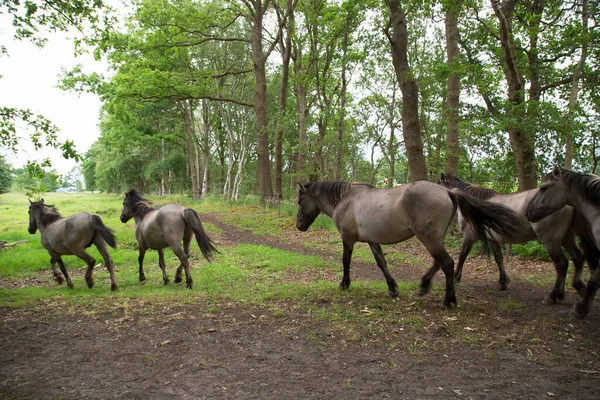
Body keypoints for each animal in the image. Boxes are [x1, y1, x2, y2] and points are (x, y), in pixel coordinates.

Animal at [296, 181, 520, 310]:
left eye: (300, 201)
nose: (299, 226)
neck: (347, 199)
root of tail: (448, 191)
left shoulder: (347, 238)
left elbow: (345, 261)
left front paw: (344, 284)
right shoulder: (372, 240)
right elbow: (381, 263)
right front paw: (392, 289)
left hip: (429, 238)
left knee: (447, 263)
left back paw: (448, 300)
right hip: (434, 238)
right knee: (440, 262)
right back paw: (425, 285)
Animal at [438, 173, 584, 304]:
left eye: (438, 184)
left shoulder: (469, 237)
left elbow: (462, 256)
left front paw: (456, 277)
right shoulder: (493, 239)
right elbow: (499, 258)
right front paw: (503, 281)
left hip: (550, 240)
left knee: (561, 264)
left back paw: (553, 296)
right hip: (567, 237)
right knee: (577, 257)